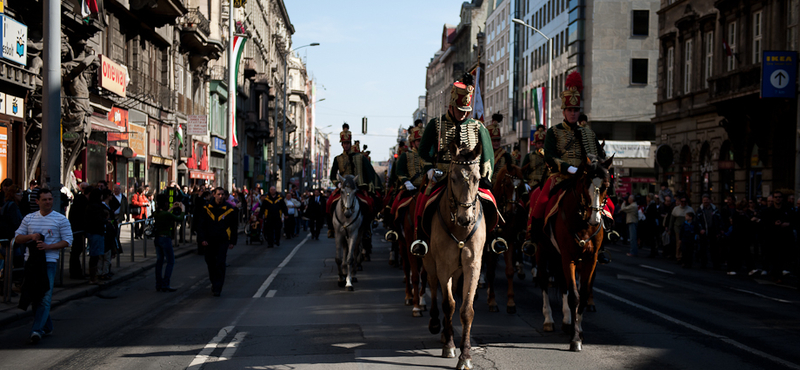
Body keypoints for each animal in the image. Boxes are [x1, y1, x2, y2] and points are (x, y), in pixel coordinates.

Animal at [424, 140, 488, 368]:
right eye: (452, 178)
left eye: (477, 178)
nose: (465, 218)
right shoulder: (443, 266)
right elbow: (449, 304)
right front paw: (450, 346)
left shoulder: (473, 267)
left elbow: (466, 310)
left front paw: (466, 355)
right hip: (430, 264)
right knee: (434, 288)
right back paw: (437, 325)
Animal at [484, 164, 528, 312]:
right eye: (507, 184)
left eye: (520, 186)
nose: (512, 211)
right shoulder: (489, 245)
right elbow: (490, 272)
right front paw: (492, 301)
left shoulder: (509, 242)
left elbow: (509, 271)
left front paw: (511, 302)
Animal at [532, 155, 612, 352]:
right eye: (585, 183)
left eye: (606, 185)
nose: (594, 219)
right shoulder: (568, 257)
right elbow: (574, 296)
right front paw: (575, 339)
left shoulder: (590, 259)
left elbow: (582, 293)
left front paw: (579, 329)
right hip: (543, 251)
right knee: (544, 281)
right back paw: (549, 319)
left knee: (563, 284)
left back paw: (568, 320)